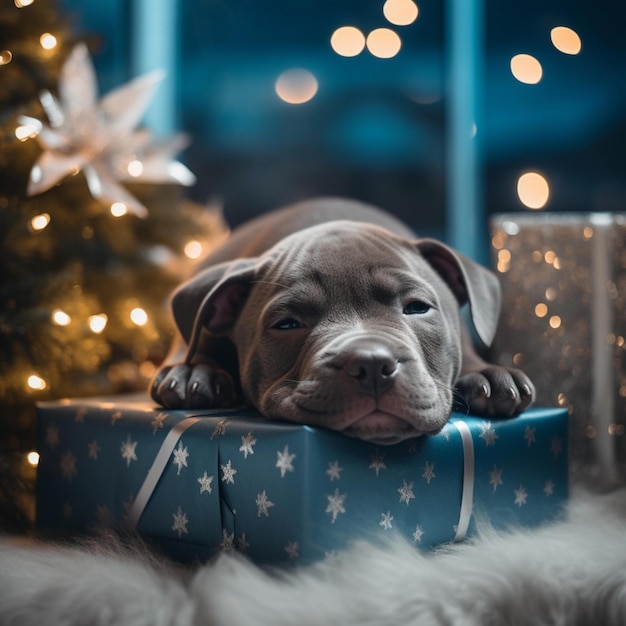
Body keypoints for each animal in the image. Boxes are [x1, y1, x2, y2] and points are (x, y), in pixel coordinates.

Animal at [150, 196, 532, 444]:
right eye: (287, 324)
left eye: (417, 308)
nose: (373, 364)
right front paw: (196, 370)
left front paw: (486, 373)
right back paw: (193, 371)